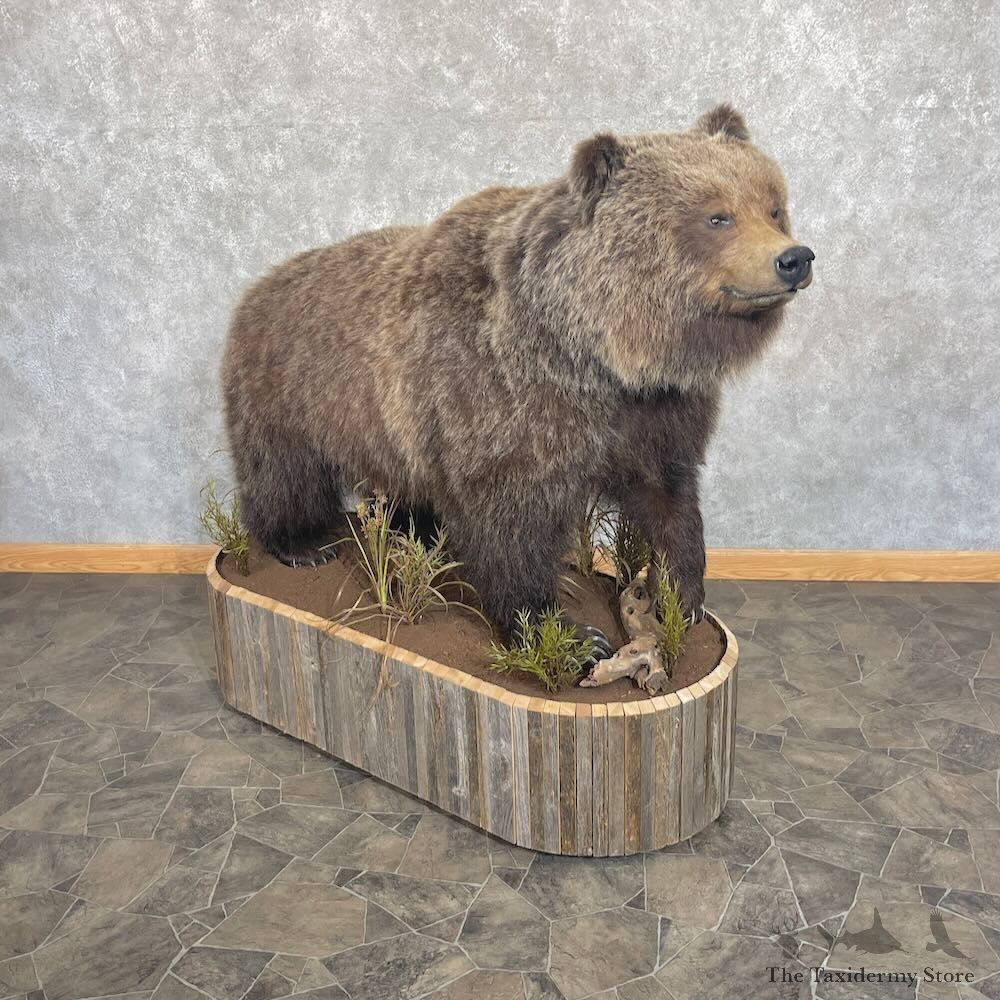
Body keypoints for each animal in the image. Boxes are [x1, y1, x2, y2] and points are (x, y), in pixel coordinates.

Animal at [221, 104, 813, 642]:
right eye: (717, 216)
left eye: (773, 207)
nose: (794, 258)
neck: (591, 354)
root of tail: (260, 285)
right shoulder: (500, 404)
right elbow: (511, 528)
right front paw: (565, 633)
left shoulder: (657, 411)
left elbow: (668, 498)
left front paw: (681, 596)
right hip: (293, 390)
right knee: (284, 473)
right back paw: (303, 543)